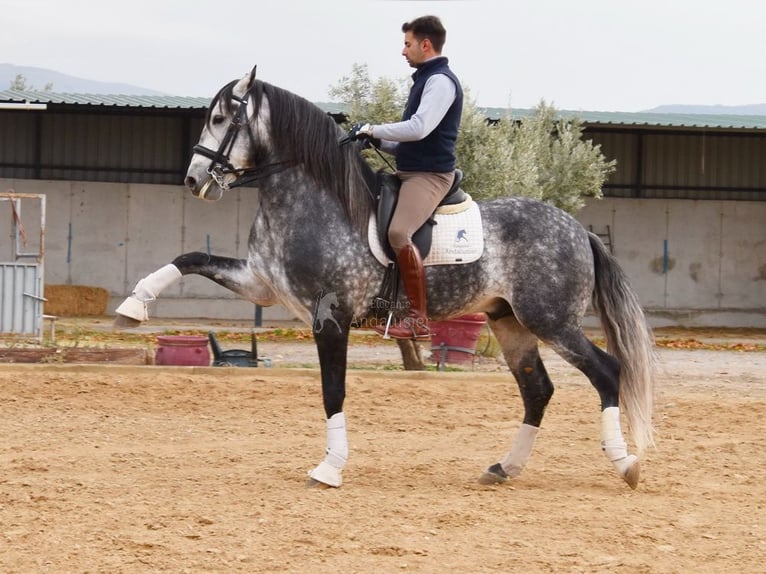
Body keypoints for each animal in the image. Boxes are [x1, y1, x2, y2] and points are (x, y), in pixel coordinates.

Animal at [117, 67, 656, 490]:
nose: (194, 181)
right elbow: (190, 256)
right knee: (538, 389)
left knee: (607, 373)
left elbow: (333, 391)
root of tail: (579, 230)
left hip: (551, 320)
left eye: (221, 119)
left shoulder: (330, 316)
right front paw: (133, 306)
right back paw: (504, 467)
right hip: (510, 322)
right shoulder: (260, 285)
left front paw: (329, 468)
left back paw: (625, 464)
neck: (311, 201)